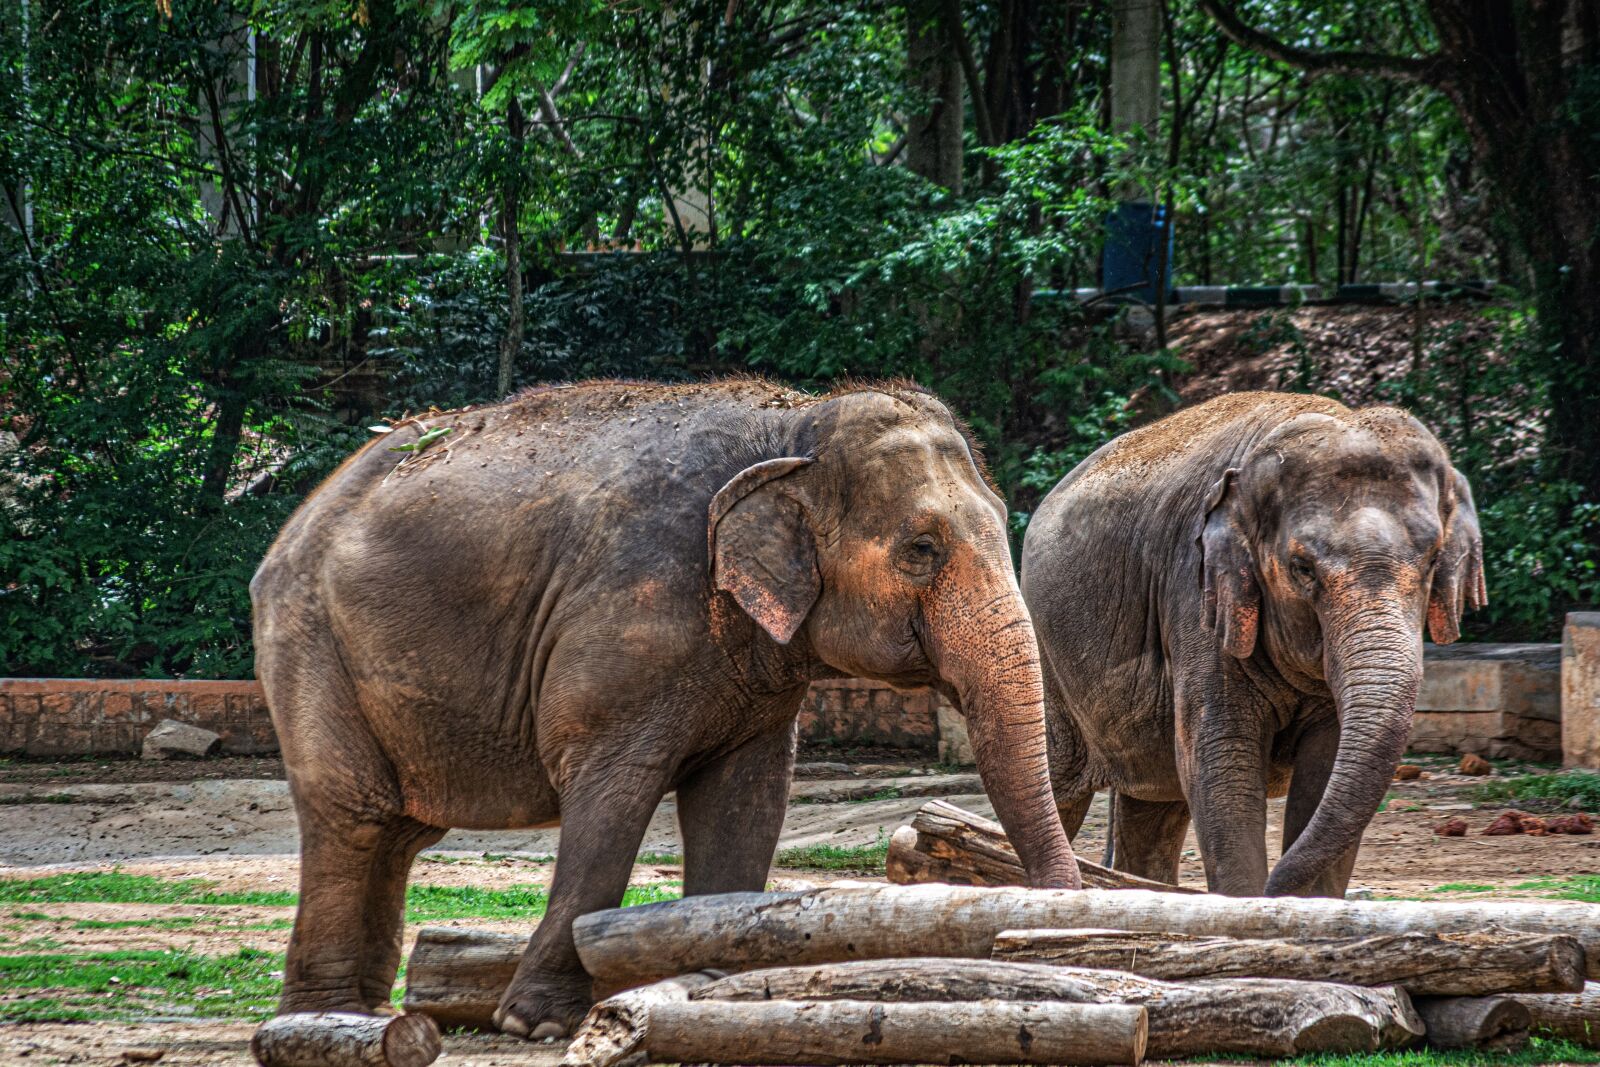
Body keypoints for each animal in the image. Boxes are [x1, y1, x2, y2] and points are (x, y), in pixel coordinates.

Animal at [251, 378, 1081, 1039]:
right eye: (921, 549)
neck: (794, 426)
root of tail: (300, 517)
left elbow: (747, 799)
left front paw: (709, 982)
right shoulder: (629, 623)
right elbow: (612, 798)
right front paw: (534, 1023)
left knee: (395, 832)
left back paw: (355, 1012)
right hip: (309, 642)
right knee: (353, 815)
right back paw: (329, 1016)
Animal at [1020, 391, 1485, 898]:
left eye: (1434, 560)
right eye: (1302, 568)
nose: (1274, 889)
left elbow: (1326, 766)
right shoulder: (1196, 597)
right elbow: (1221, 759)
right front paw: (1251, 900)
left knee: (1157, 804)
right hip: (1047, 657)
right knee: (1061, 784)